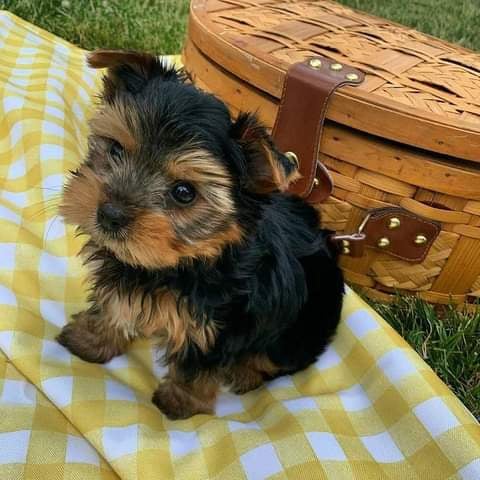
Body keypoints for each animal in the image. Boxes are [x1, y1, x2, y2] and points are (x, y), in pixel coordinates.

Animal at [57, 47, 344, 416]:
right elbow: (113, 305)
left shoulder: (221, 326)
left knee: (276, 359)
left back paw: (244, 373)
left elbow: (198, 364)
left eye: (184, 192)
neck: (184, 262)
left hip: (303, 327)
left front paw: (179, 403)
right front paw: (89, 340)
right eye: (116, 149)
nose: (109, 215)